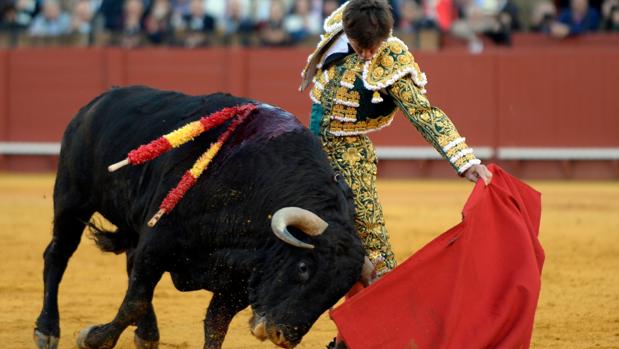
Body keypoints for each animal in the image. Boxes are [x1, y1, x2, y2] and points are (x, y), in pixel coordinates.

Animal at [34, 86, 368, 348]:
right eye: (303, 267)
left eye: (338, 292)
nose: (282, 336)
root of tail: (98, 101)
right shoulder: (157, 243)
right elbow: (134, 303)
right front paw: (91, 338)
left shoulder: (236, 282)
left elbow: (215, 325)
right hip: (72, 199)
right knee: (58, 255)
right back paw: (47, 331)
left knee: (127, 262)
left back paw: (147, 335)